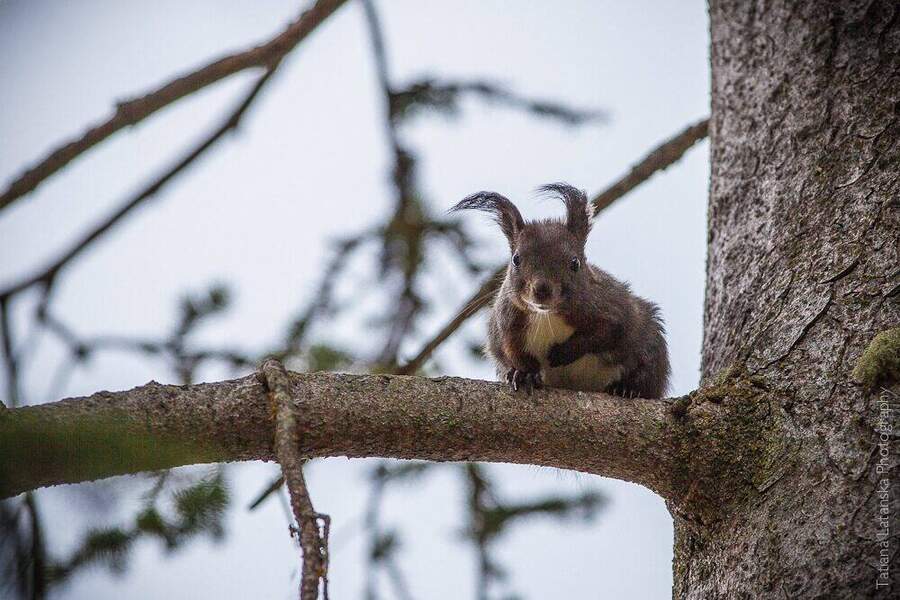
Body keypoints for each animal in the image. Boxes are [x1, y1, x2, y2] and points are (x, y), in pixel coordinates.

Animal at [451, 183, 670, 398]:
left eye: (575, 263)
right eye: (516, 259)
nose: (542, 289)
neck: (546, 315)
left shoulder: (612, 307)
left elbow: (606, 332)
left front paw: (562, 353)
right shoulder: (506, 322)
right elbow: (510, 349)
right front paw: (524, 374)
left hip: (650, 345)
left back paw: (627, 388)